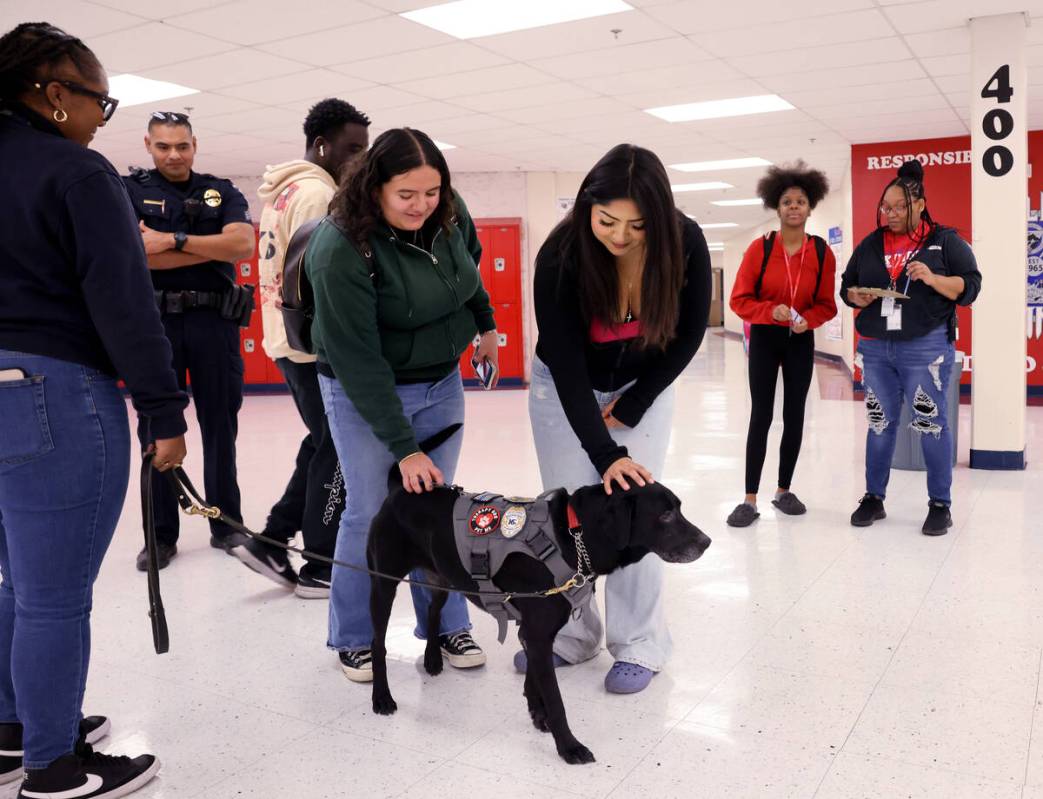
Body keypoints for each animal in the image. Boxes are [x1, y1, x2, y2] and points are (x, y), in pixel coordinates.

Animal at [365, 425, 709, 763]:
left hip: (444, 577)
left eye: (679, 508)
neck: (573, 536)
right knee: (378, 642)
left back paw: (433, 659)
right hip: (383, 583)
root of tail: (398, 491)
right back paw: (381, 697)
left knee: (433, 611)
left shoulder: (534, 632)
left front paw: (537, 714)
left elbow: (533, 678)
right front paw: (568, 746)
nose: (706, 542)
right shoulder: (539, 632)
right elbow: (556, 699)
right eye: (665, 515)